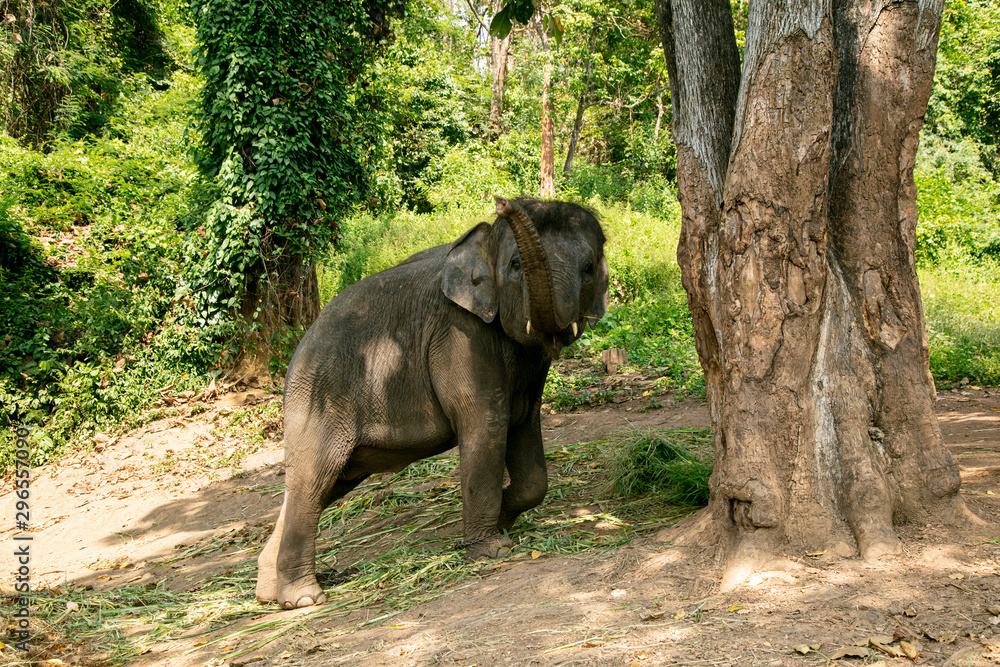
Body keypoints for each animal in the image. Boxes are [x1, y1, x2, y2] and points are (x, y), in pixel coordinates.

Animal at [255, 197, 609, 609]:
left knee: (317, 487)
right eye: (515, 265)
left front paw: (500, 522)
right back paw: (302, 600)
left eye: (589, 268)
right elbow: (488, 423)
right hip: (318, 399)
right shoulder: (459, 333)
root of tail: (296, 352)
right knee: (314, 480)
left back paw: (268, 593)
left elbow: (524, 431)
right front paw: (493, 549)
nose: (503, 202)